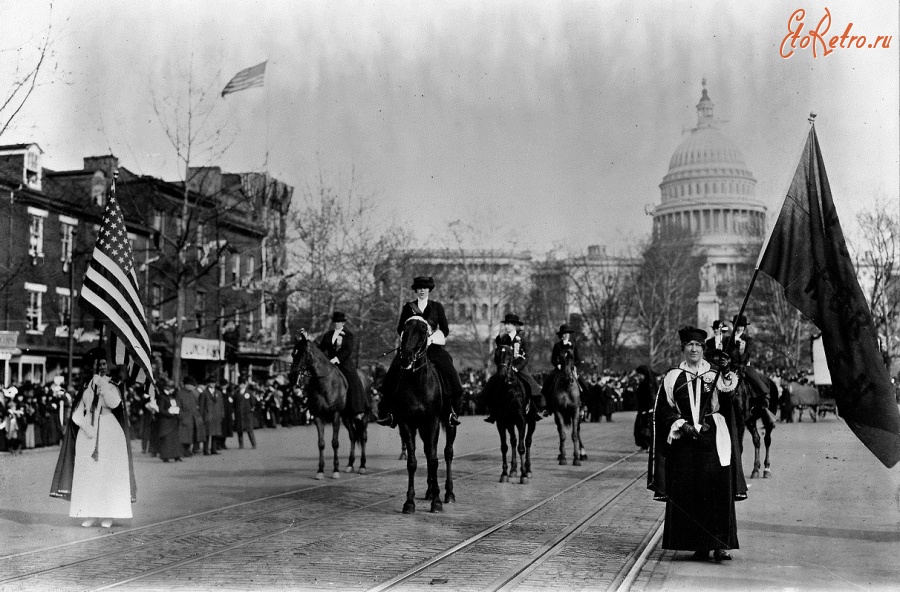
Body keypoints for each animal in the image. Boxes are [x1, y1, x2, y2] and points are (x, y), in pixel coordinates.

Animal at [290, 332, 370, 480]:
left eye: (303, 353)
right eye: (293, 353)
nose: (292, 376)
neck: (324, 383)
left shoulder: (335, 415)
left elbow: (335, 442)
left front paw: (335, 470)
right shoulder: (317, 416)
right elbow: (321, 443)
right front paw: (320, 470)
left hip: (363, 415)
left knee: (363, 436)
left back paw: (362, 466)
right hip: (347, 417)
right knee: (353, 436)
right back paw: (350, 464)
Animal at [396, 314, 458, 512]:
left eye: (423, 331)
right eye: (404, 330)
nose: (406, 358)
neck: (418, 382)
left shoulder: (432, 422)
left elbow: (433, 459)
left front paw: (437, 501)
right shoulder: (407, 424)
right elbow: (412, 461)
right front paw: (409, 502)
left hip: (449, 423)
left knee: (447, 452)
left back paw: (448, 493)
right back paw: (430, 490)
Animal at [492, 344, 536, 484]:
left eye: (510, 355)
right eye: (497, 354)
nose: (502, 374)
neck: (509, 389)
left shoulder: (521, 420)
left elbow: (521, 447)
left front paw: (523, 475)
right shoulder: (502, 421)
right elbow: (504, 447)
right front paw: (504, 473)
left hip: (531, 422)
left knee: (527, 441)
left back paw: (528, 470)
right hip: (510, 423)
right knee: (513, 441)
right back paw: (513, 470)